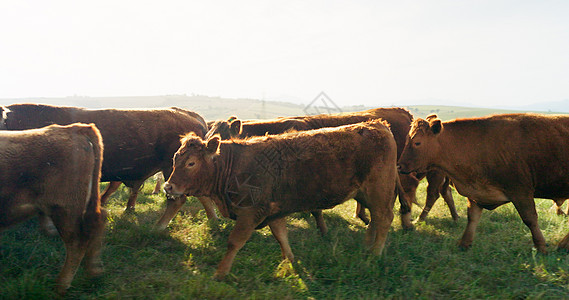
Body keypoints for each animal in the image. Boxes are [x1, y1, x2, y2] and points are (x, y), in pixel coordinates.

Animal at [0, 123, 105, 294]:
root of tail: (75, 128)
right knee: (98, 221)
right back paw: (94, 271)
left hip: (64, 210)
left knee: (77, 241)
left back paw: (61, 285)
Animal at [164, 119, 400, 278]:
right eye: (175, 158)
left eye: (191, 163)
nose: (168, 186)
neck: (236, 164)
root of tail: (378, 125)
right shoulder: (274, 212)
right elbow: (281, 236)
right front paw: (291, 260)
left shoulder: (250, 213)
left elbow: (234, 242)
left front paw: (220, 273)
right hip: (366, 194)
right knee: (375, 219)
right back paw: (367, 246)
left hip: (379, 190)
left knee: (384, 218)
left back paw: (375, 254)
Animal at [394, 113, 569, 252]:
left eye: (417, 142)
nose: (399, 165)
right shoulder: (476, 192)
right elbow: (472, 218)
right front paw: (464, 243)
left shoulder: (521, 192)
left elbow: (530, 219)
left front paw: (541, 247)